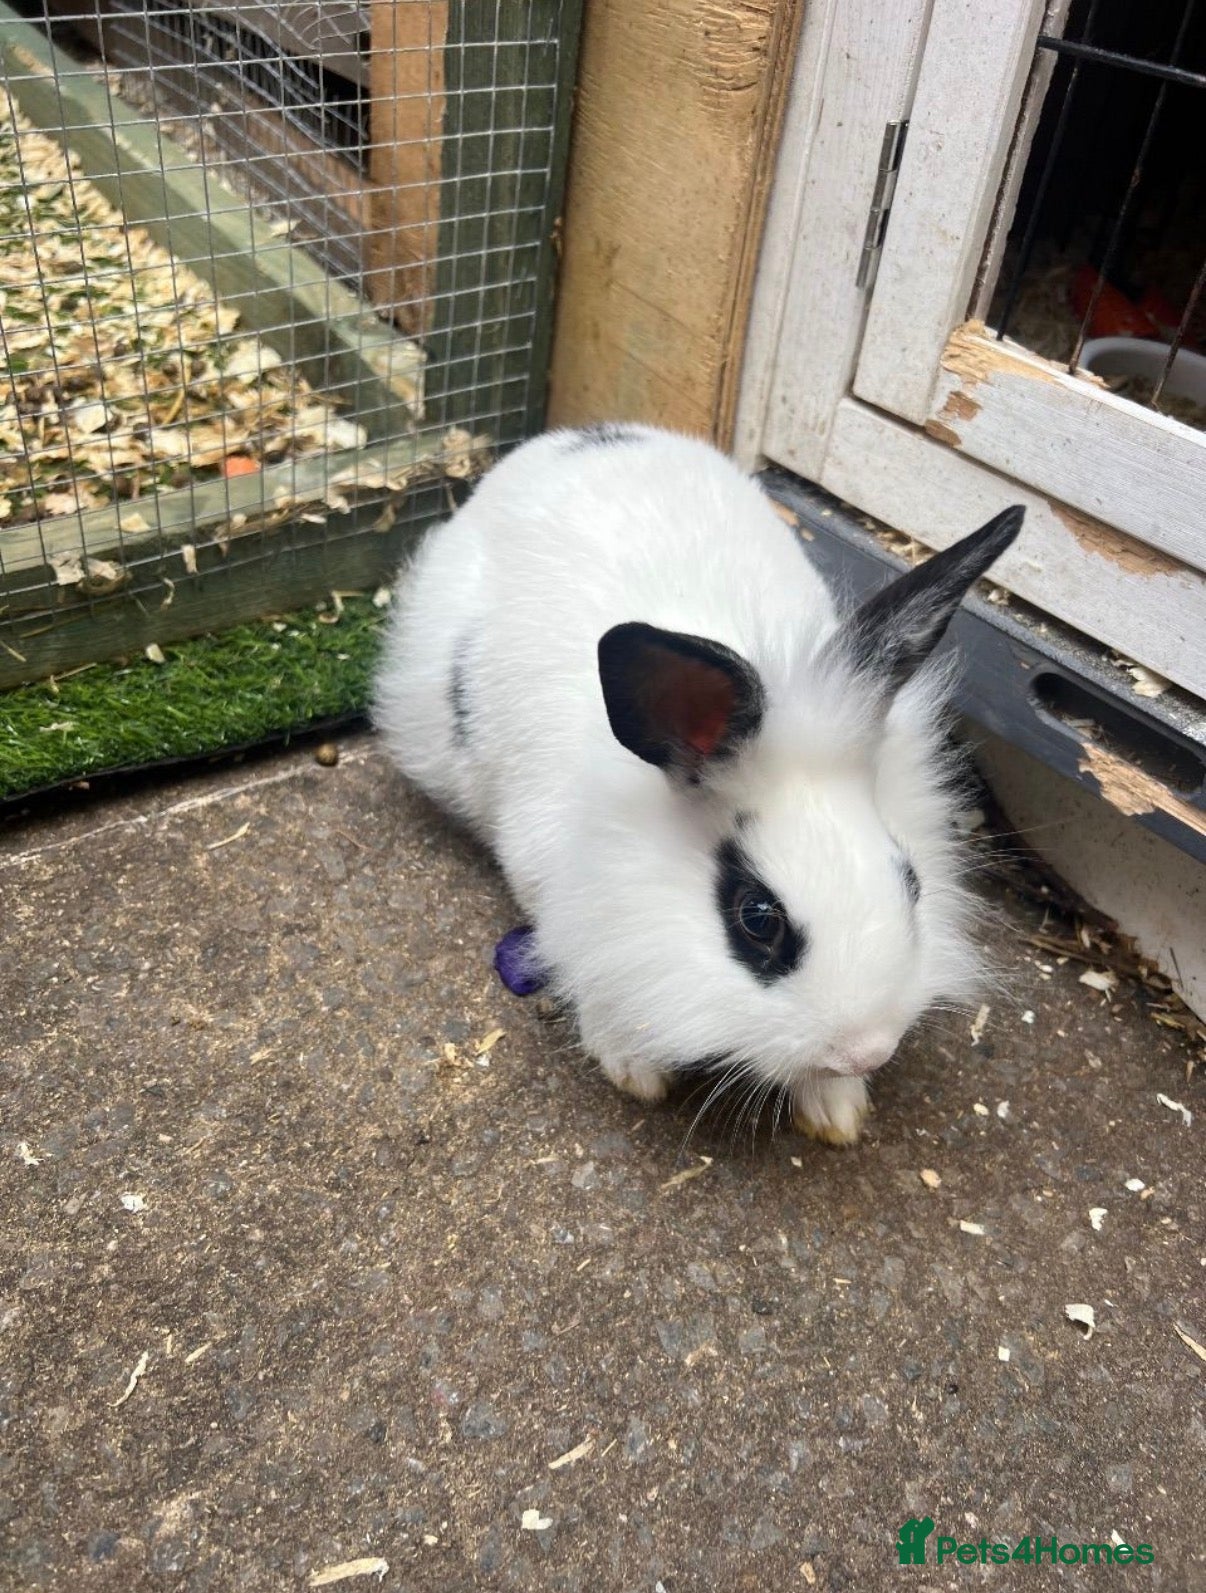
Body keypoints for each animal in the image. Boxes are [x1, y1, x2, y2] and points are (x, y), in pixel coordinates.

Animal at [373, 423, 1023, 1145]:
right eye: (758, 918)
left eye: (910, 880)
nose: (866, 1049)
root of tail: (573, 437)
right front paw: (632, 1067)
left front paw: (838, 1108)